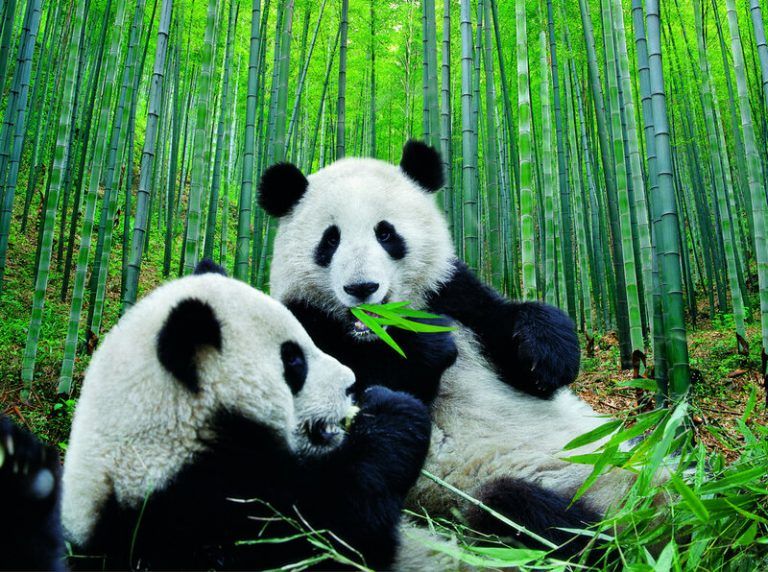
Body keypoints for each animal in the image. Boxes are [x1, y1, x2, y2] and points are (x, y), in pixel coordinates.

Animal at [258, 140, 636, 555]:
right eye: (330, 240)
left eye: (386, 234)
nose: (362, 287)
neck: (374, 331)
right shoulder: (302, 325)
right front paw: (427, 346)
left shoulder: (453, 292)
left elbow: (512, 336)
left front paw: (548, 355)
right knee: (531, 513)